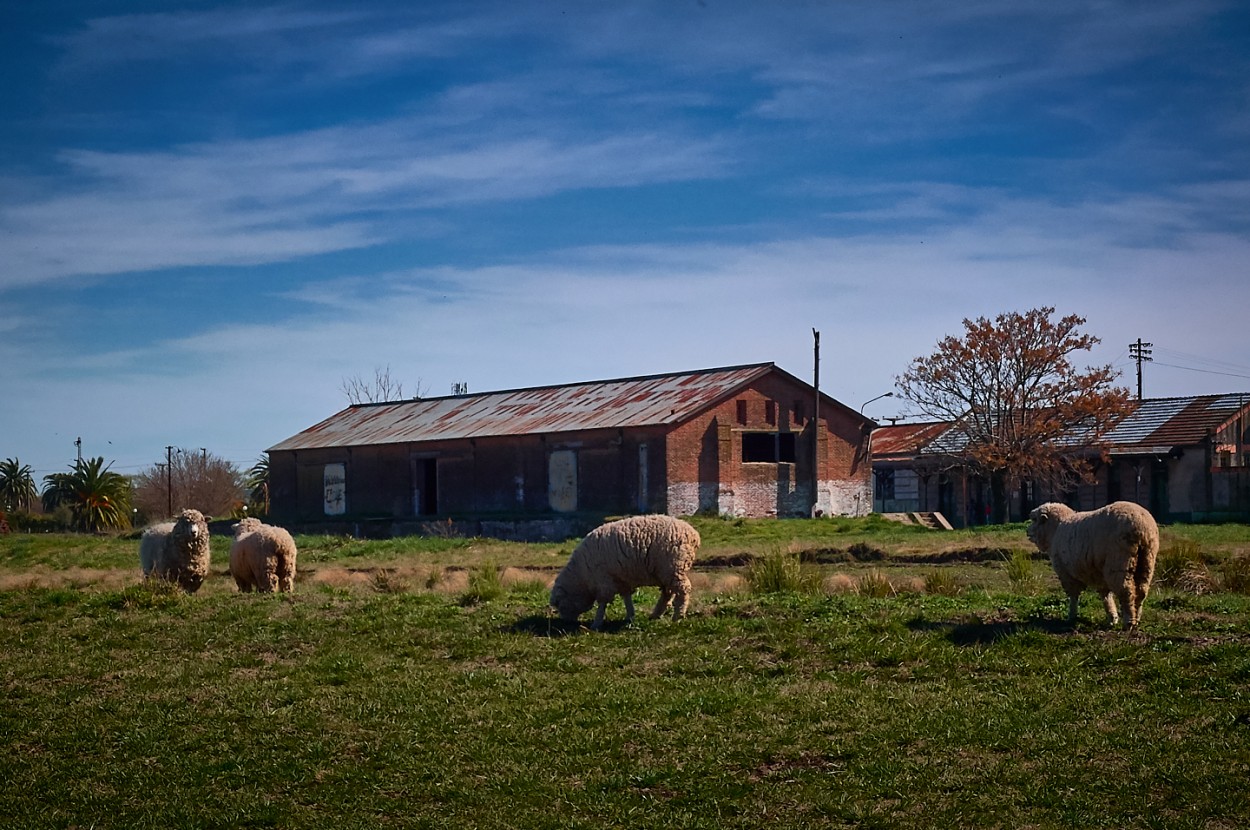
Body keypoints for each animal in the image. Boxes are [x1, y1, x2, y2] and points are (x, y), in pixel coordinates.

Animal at [550, 512, 705, 630]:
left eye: (561, 605)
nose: (567, 623)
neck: (581, 577)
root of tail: (694, 535)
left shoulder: (603, 580)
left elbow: (602, 602)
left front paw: (596, 623)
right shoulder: (621, 579)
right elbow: (626, 597)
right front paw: (630, 616)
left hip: (674, 568)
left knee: (683, 590)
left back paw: (677, 616)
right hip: (665, 571)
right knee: (667, 593)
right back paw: (656, 614)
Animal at [1025, 500, 1160, 630]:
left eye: (1035, 519)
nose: (1027, 531)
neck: (1055, 529)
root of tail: (1142, 526)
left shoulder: (1066, 573)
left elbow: (1073, 596)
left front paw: (1071, 616)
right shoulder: (1099, 574)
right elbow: (1106, 595)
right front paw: (1112, 618)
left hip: (1119, 563)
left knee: (1126, 591)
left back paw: (1129, 622)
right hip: (1147, 561)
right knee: (1142, 591)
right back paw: (1137, 619)